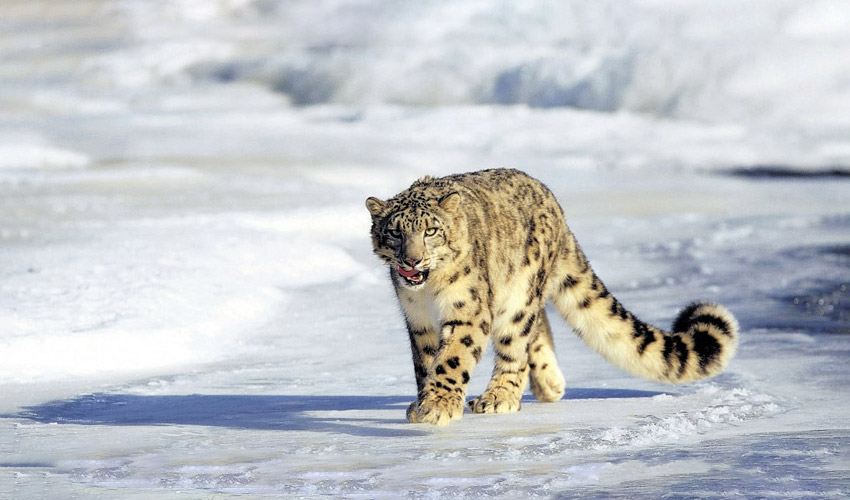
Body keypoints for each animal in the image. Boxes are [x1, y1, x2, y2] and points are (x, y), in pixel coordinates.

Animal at [364, 169, 736, 426]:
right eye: (394, 232)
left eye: (431, 231)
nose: (412, 260)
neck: (429, 293)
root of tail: (554, 204)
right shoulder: (418, 320)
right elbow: (426, 361)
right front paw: (424, 401)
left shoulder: (467, 310)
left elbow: (452, 358)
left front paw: (438, 405)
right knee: (536, 325)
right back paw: (548, 383)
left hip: (520, 292)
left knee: (517, 341)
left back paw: (500, 396)